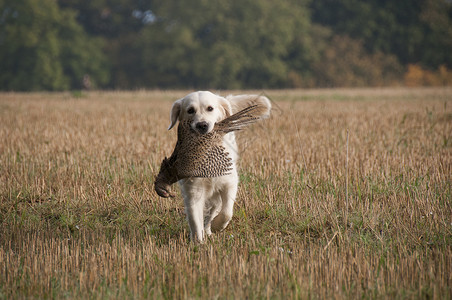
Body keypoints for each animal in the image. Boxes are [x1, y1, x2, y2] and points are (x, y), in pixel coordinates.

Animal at [167, 91, 270, 241]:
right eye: (190, 110)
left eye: (210, 108)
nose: (202, 125)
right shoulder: (193, 191)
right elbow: (194, 219)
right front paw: (198, 242)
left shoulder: (229, 183)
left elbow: (226, 212)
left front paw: (217, 226)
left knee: (214, 212)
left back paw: (210, 229)